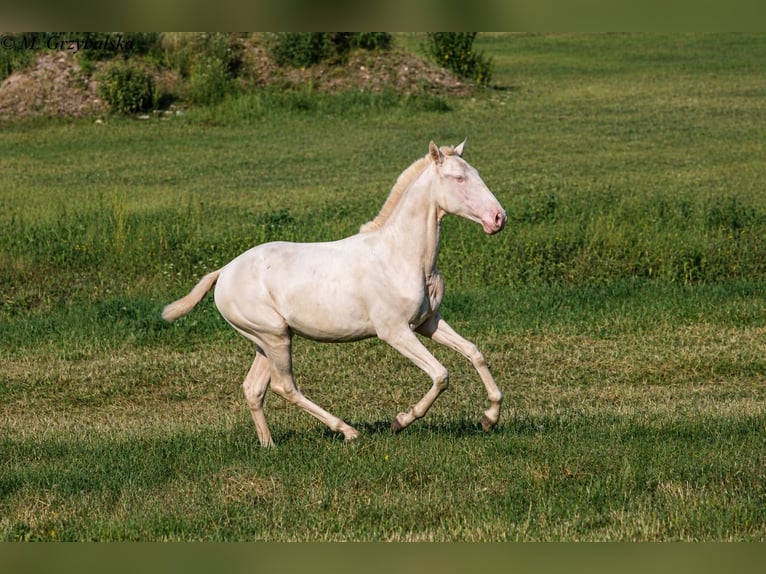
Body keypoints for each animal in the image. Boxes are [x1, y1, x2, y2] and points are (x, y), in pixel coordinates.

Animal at [162, 140, 507, 447]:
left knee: (253, 388)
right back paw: (348, 432)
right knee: (284, 387)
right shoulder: (395, 331)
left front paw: (489, 418)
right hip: (275, 338)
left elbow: (474, 352)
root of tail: (223, 272)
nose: (498, 218)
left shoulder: (428, 322)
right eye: (458, 178)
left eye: (476, 173)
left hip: (266, 340)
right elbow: (440, 374)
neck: (401, 256)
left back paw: (269, 445)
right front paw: (400, 421)